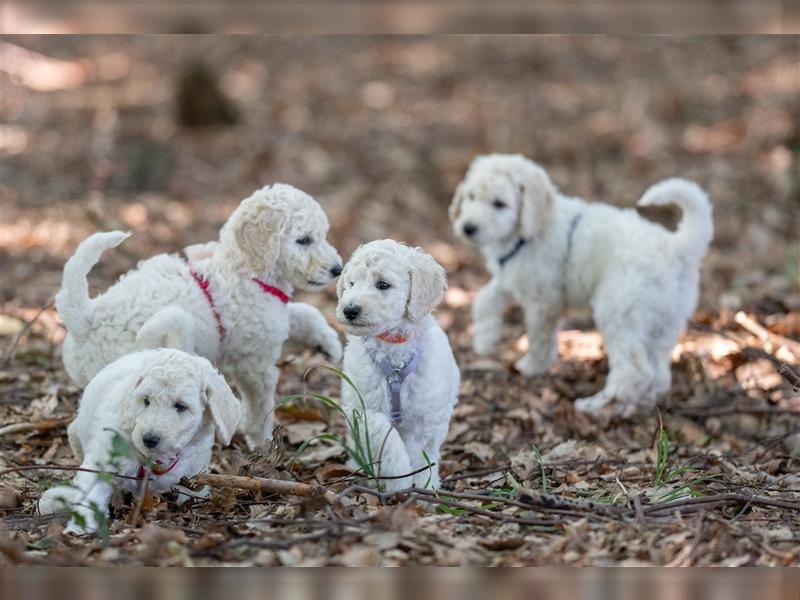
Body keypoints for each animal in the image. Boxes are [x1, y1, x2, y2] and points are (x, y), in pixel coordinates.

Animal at [38, 346, 241, 536]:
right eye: (146, 401)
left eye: (181, 406)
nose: (149, 439)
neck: (153, 460)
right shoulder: (103, 457)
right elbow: (90, 490)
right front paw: (79, 528)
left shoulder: (196, 462)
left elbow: (193, 486)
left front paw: (194, 502)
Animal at [55, 185, 344, 448]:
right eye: (304, 240)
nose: (337, 269)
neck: (244, 269)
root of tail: (87, 317)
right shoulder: (255, 363)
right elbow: (260, 406)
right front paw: (263, 444)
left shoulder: (275, 317)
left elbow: (304, 313)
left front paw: (329, 344)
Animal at [334, 239, 460, 492]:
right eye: (351, 283)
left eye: (383, 284)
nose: (349, 310)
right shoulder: (365, 409)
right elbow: (388, 440)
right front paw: (399, 481)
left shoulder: (423, 416)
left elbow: (418, 452)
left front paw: (422, 483)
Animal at [450, 155, 712, 414]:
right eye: (470, 197)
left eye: (499, 204)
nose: (468, 228)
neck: (533, 230)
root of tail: (677, 248)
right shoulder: (511, 277)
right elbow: (484, 299)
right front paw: (484, 340)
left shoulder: (543, 301)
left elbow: (539, 338)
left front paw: (531, 367)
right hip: (663, 324)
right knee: (658, 372)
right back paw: (640, 405)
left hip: (619, 315)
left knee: (633, 371)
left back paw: (597, 405)